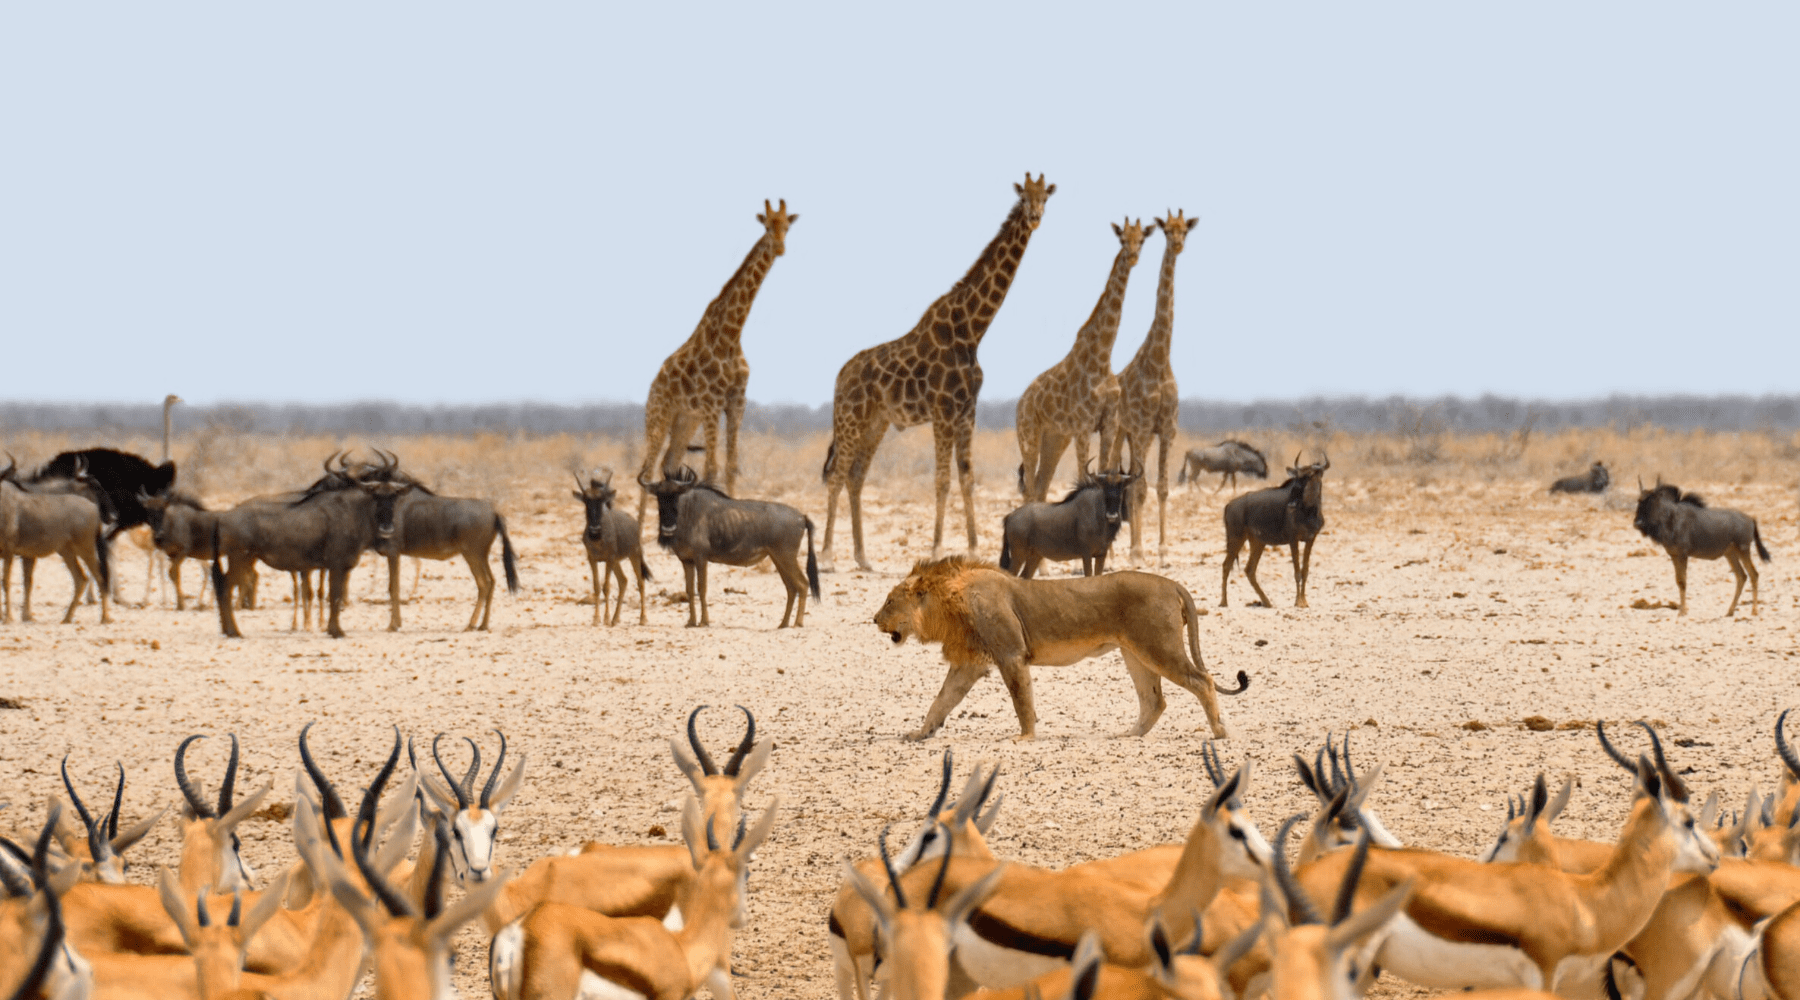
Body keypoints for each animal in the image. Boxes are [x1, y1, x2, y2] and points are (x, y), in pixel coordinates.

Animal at [637, 197, 799, 517]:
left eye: (786, 227)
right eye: (767, 226)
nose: (780, 248)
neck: (732, 335)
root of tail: (653, 385)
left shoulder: (736, 401)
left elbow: (731, 466)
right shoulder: (712, 403)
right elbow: (711, 468)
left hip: (685, 421)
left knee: (669, 464)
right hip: (659, 416)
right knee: (646, 471)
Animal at [820, 175, 1051, 575]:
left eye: (1045, 199)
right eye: (1024, 199)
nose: (1035, 217)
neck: (972, 331)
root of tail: (840, 377)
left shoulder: (966, 410)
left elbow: (967, 477)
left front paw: (973, 549)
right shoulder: (943, 410)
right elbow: (942, 480)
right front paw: (936, 548)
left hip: (876, 422)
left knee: (856, 476)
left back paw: (863, 557)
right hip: (850, 417)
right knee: (837, 474)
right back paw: (829, 556)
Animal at [874, 553, 1252, 741]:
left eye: (890, 601)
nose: (874, 619)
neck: (948, 603)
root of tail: (1173, 583)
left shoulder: (1011, 655)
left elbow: (1022, 700)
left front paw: (1025, 737)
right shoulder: (969, 664)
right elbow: (941, 701)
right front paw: (920, 732)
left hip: (1159, 647)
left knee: (1202, 681)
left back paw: (1219, 732)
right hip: (1135, 654)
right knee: (1154, 700)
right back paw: (1129, 735)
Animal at [1015, 215, 1152, 503]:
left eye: (1142, 239)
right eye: (1123, 238)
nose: (1133, 256)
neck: (1103, 356)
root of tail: (1020, 403)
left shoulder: (1108, 423)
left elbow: (1104, 470)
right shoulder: (1083, 426)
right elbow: (1083, 474)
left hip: (1055, 437)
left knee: (1041, 485)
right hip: (1029, 435)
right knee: (1030, 488)